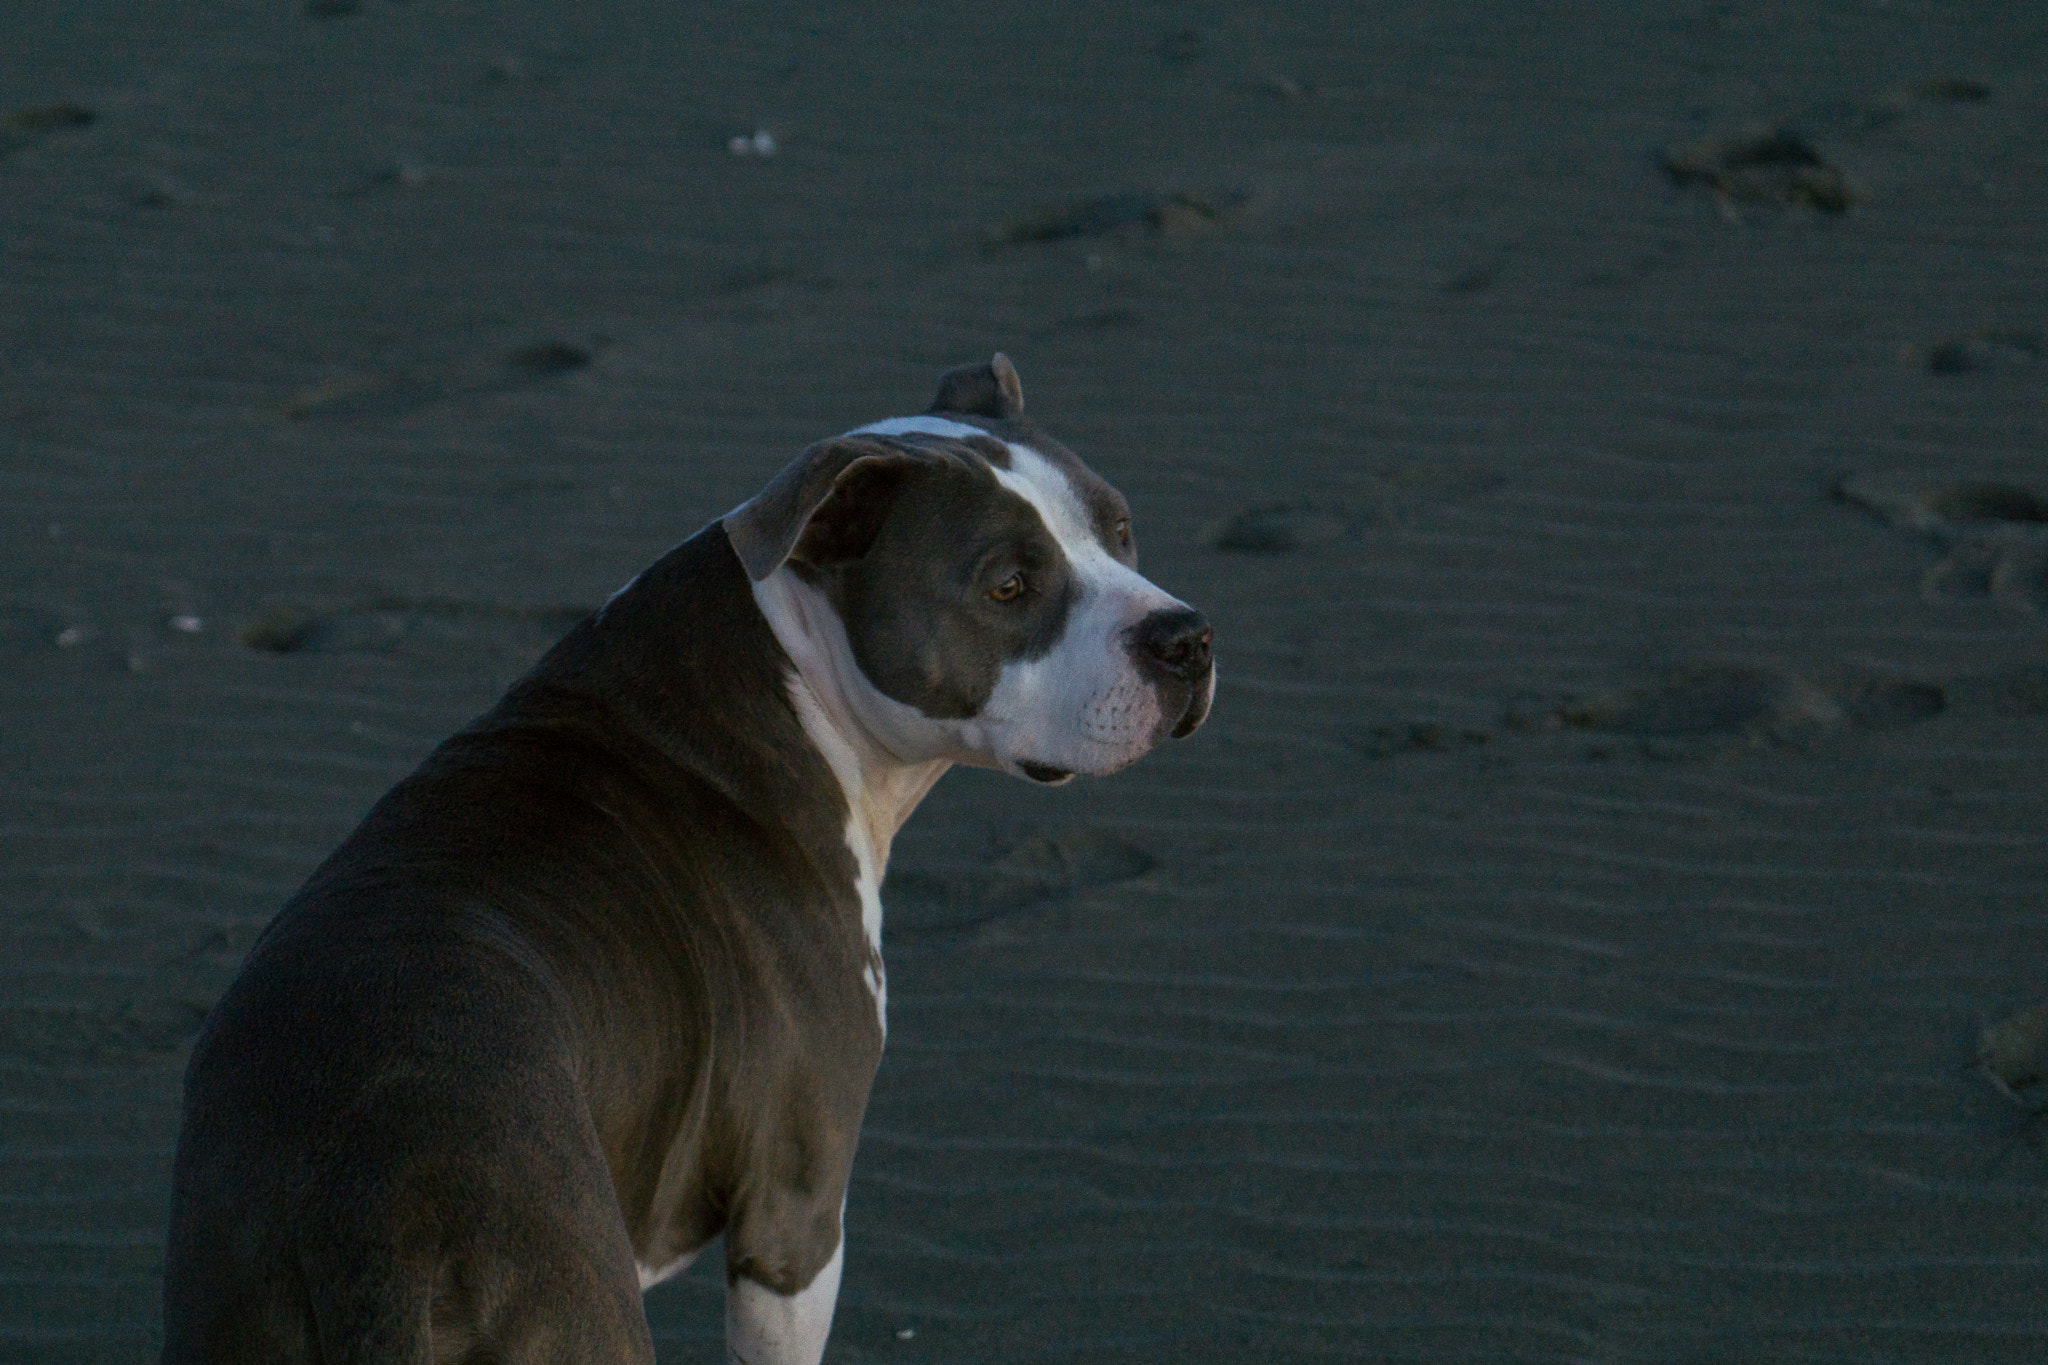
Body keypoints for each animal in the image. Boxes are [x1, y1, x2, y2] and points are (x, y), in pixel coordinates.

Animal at [167, 356, 1212, 1365]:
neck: (793, 674)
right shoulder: (794, 1217)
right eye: (1008, 585)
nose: (1188, 638)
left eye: (1120, 530)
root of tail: (380, 1226)